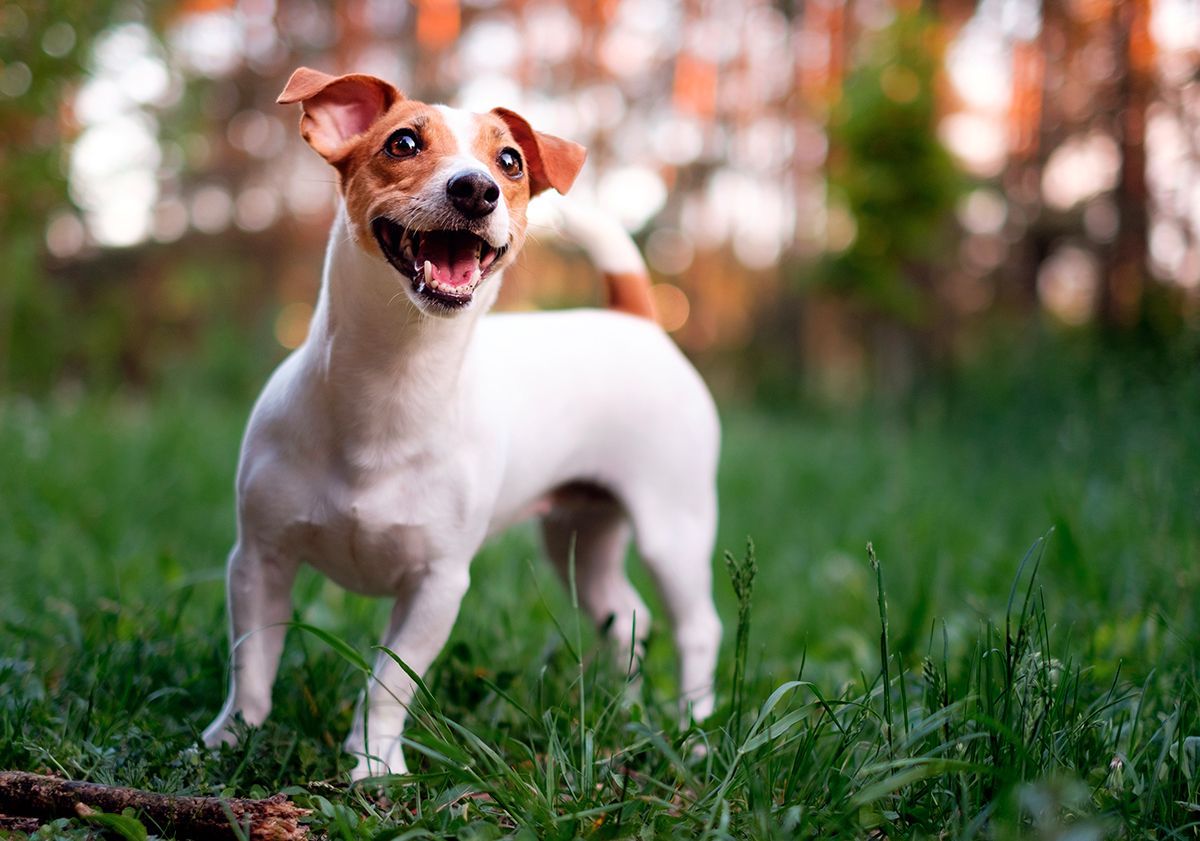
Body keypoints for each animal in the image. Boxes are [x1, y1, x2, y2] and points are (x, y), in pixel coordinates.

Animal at [201, 67, 720, 782]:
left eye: (511, 162)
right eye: (402, 142)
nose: (476, 188)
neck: (393, 382)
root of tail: (636, 318)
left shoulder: (438, 586)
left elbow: (388, 683)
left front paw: (373, 765)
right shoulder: (259, 560)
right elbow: (252, 661)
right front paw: (233, 739)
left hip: (674, 529)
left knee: (698, 628)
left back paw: (693, 731)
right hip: (579, 537)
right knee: (626, 616)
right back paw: (624, 706)